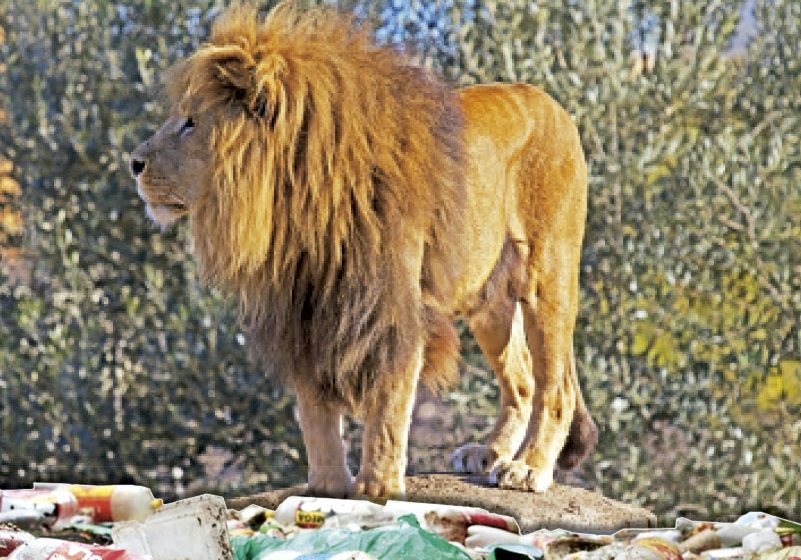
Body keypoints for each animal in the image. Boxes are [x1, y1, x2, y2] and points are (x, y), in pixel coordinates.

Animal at [130, 1, 597, 497]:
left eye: (190, 122)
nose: (133, 162)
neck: (294, 203)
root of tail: (551, 103)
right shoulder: (304, 310)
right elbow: (315, 412)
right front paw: (327, 488)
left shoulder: (392, 305)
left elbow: (388, 405)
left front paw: (378, 489)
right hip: (487, 301)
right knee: (523, 380)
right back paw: (490, 453)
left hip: (548, 276)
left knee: (556, 387)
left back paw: (526, 467)